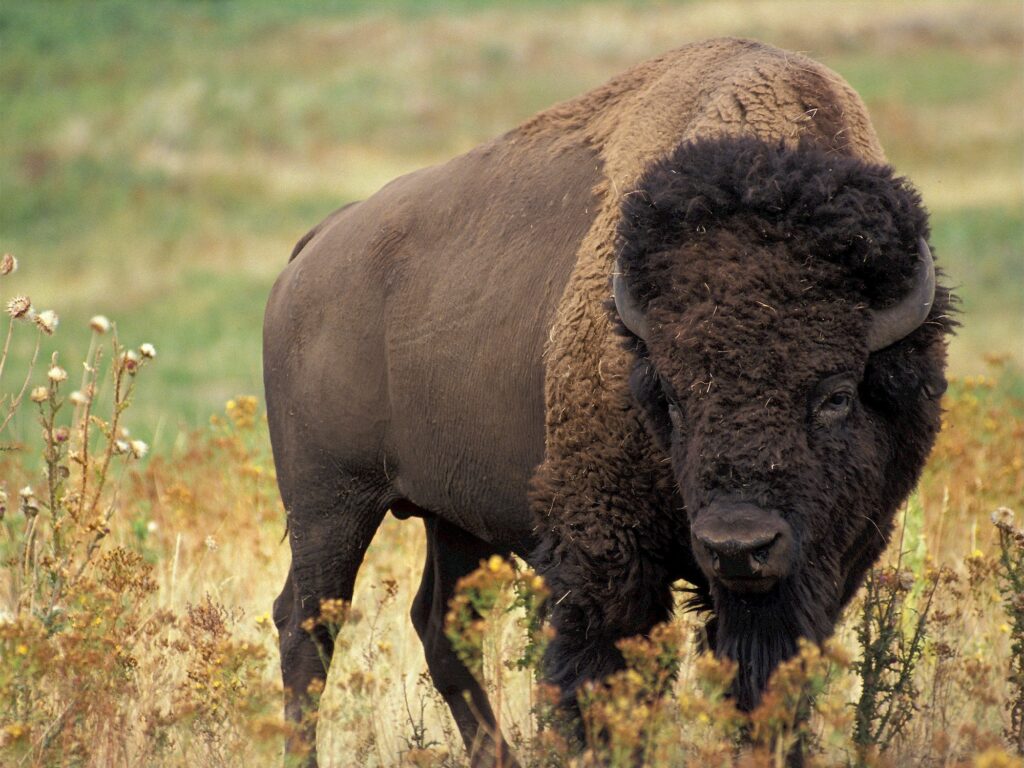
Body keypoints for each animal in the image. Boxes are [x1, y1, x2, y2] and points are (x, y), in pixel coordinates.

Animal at [263, 37, 953, 765]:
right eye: (671, 399)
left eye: (837, 396)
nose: (738, 545)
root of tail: (314, 248)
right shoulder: (604, 557)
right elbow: (603, 684)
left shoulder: (823, 566)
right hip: (329, 503)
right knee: (307, 626)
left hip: (450, 516)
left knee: (440, 627)